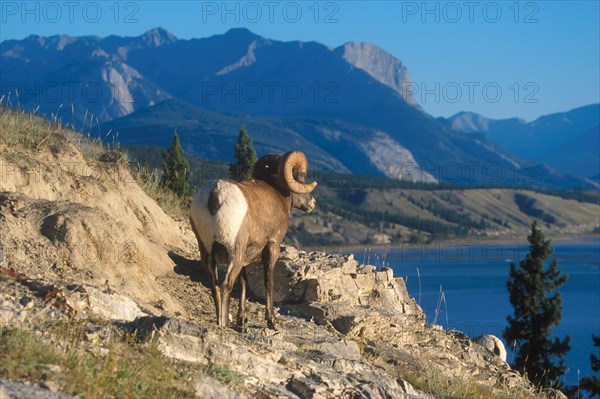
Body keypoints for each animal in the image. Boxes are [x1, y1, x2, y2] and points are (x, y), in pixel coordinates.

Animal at [192, 151, 316, 328]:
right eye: (300, 177)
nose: (313, 203)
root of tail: (215, 194)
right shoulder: (272, 245)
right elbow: (268, 282)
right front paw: (272, 321)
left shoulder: (246, 254)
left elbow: (243, 281)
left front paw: (242, 319)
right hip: (234, 251)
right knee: (226, 284)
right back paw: (223, 323)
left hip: (206, 250)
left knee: (214, 284)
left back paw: (219, 320)